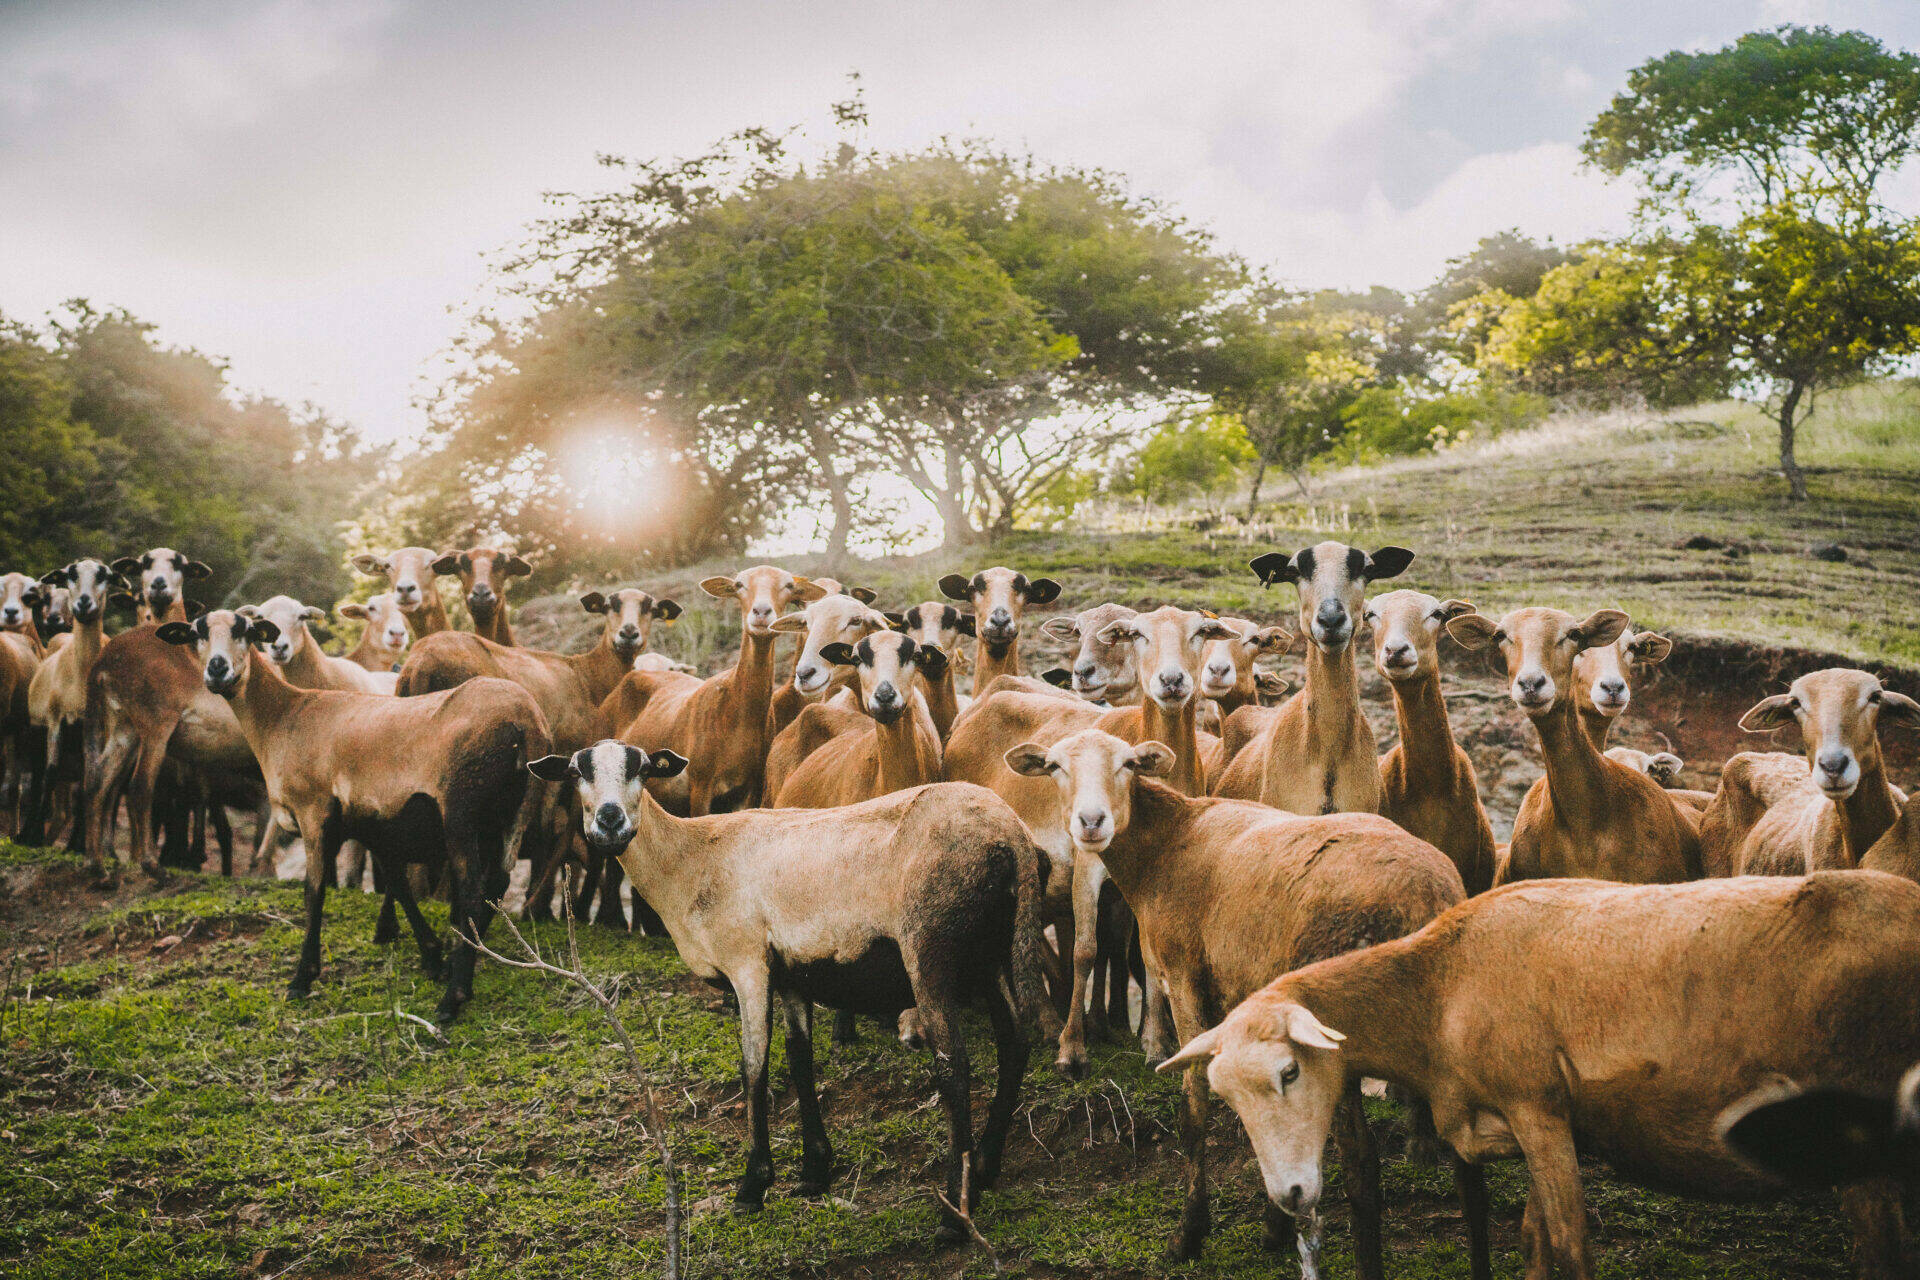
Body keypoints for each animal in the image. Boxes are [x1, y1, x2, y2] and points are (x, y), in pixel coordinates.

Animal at [160, 611, 550, 1022]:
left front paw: (302, 979)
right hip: (515, 808)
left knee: (474, 890)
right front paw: (431, 956)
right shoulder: (368, 821)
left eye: (244, 630)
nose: (217, 669)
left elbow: (314, 891)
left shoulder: (313, 810)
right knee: (498, 882)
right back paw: (469, 960)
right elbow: (397, 883)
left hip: (462, 806)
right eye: (196, 633)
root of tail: (526, 720)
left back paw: (453, 997)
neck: (283, 718)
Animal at [531, 740, 1057, 1242]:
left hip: (931, 948)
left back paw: (954, 1214)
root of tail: (1011, 834)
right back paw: (985, 1166)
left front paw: (752, 1186)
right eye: (577, 772)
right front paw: (814, 1171)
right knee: (1014, 1042)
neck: (690, 860)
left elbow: (754, 1067)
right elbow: (800, 1060)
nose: (610, 821)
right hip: (990, 954)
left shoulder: (747, 965)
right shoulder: (791, 977)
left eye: (641, 768)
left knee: (955, 1069)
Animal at [1164, 872, 1920, 1280]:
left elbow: (1571, 1248)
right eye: (1226, 1098)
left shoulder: (1539, 1112)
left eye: (1290, 1071)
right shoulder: (1531, 1123)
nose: (1291, 1196)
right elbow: (1533, 1240)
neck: (1434, 991)